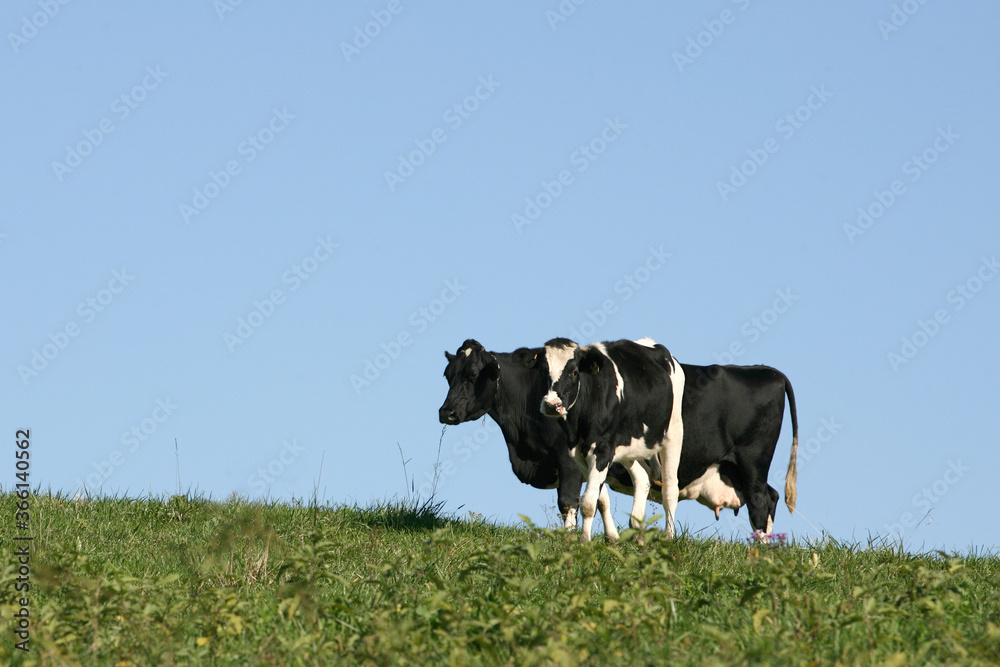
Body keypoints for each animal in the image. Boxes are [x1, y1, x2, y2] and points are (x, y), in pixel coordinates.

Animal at [437, 339, 621, 539]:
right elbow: (601, 500)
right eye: (447, 375)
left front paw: (569, 540)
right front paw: (611, 538)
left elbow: (568, 502)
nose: (446, 412)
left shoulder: (569, 461)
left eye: (472, 374)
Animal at [539, 337, 686, 542]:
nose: (552, 405)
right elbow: (600, 500)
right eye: (544, 370)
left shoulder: (602, 450)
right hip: (628, 446)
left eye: (574, 372)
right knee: (642, 477)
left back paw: (668, 537)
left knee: (670, 489)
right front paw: (612, 537)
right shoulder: (579, 454)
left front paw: (584, 541)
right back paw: (638, 531)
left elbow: (588, 503)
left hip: (673, 431)